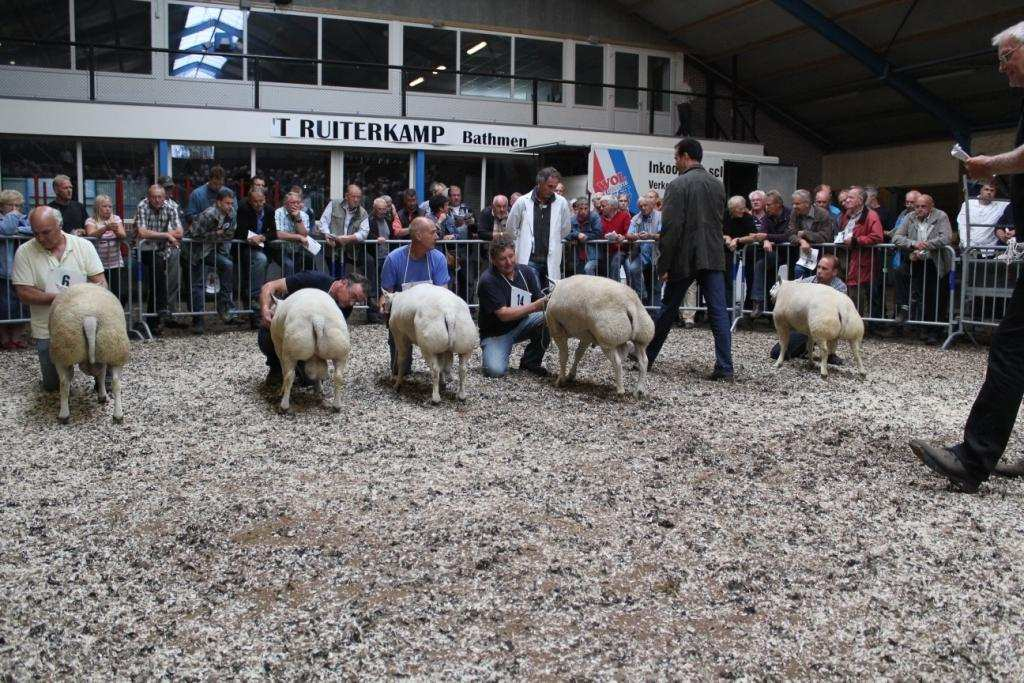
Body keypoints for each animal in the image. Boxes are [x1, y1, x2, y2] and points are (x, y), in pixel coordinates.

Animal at [48, 282, 130, 421]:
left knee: (64, 383)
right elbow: (102, 374)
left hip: (62, 355)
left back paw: (64, 414)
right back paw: (118, 415)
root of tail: (89, 319)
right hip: (114, 350)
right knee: (116, 382)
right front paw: (102, 396)